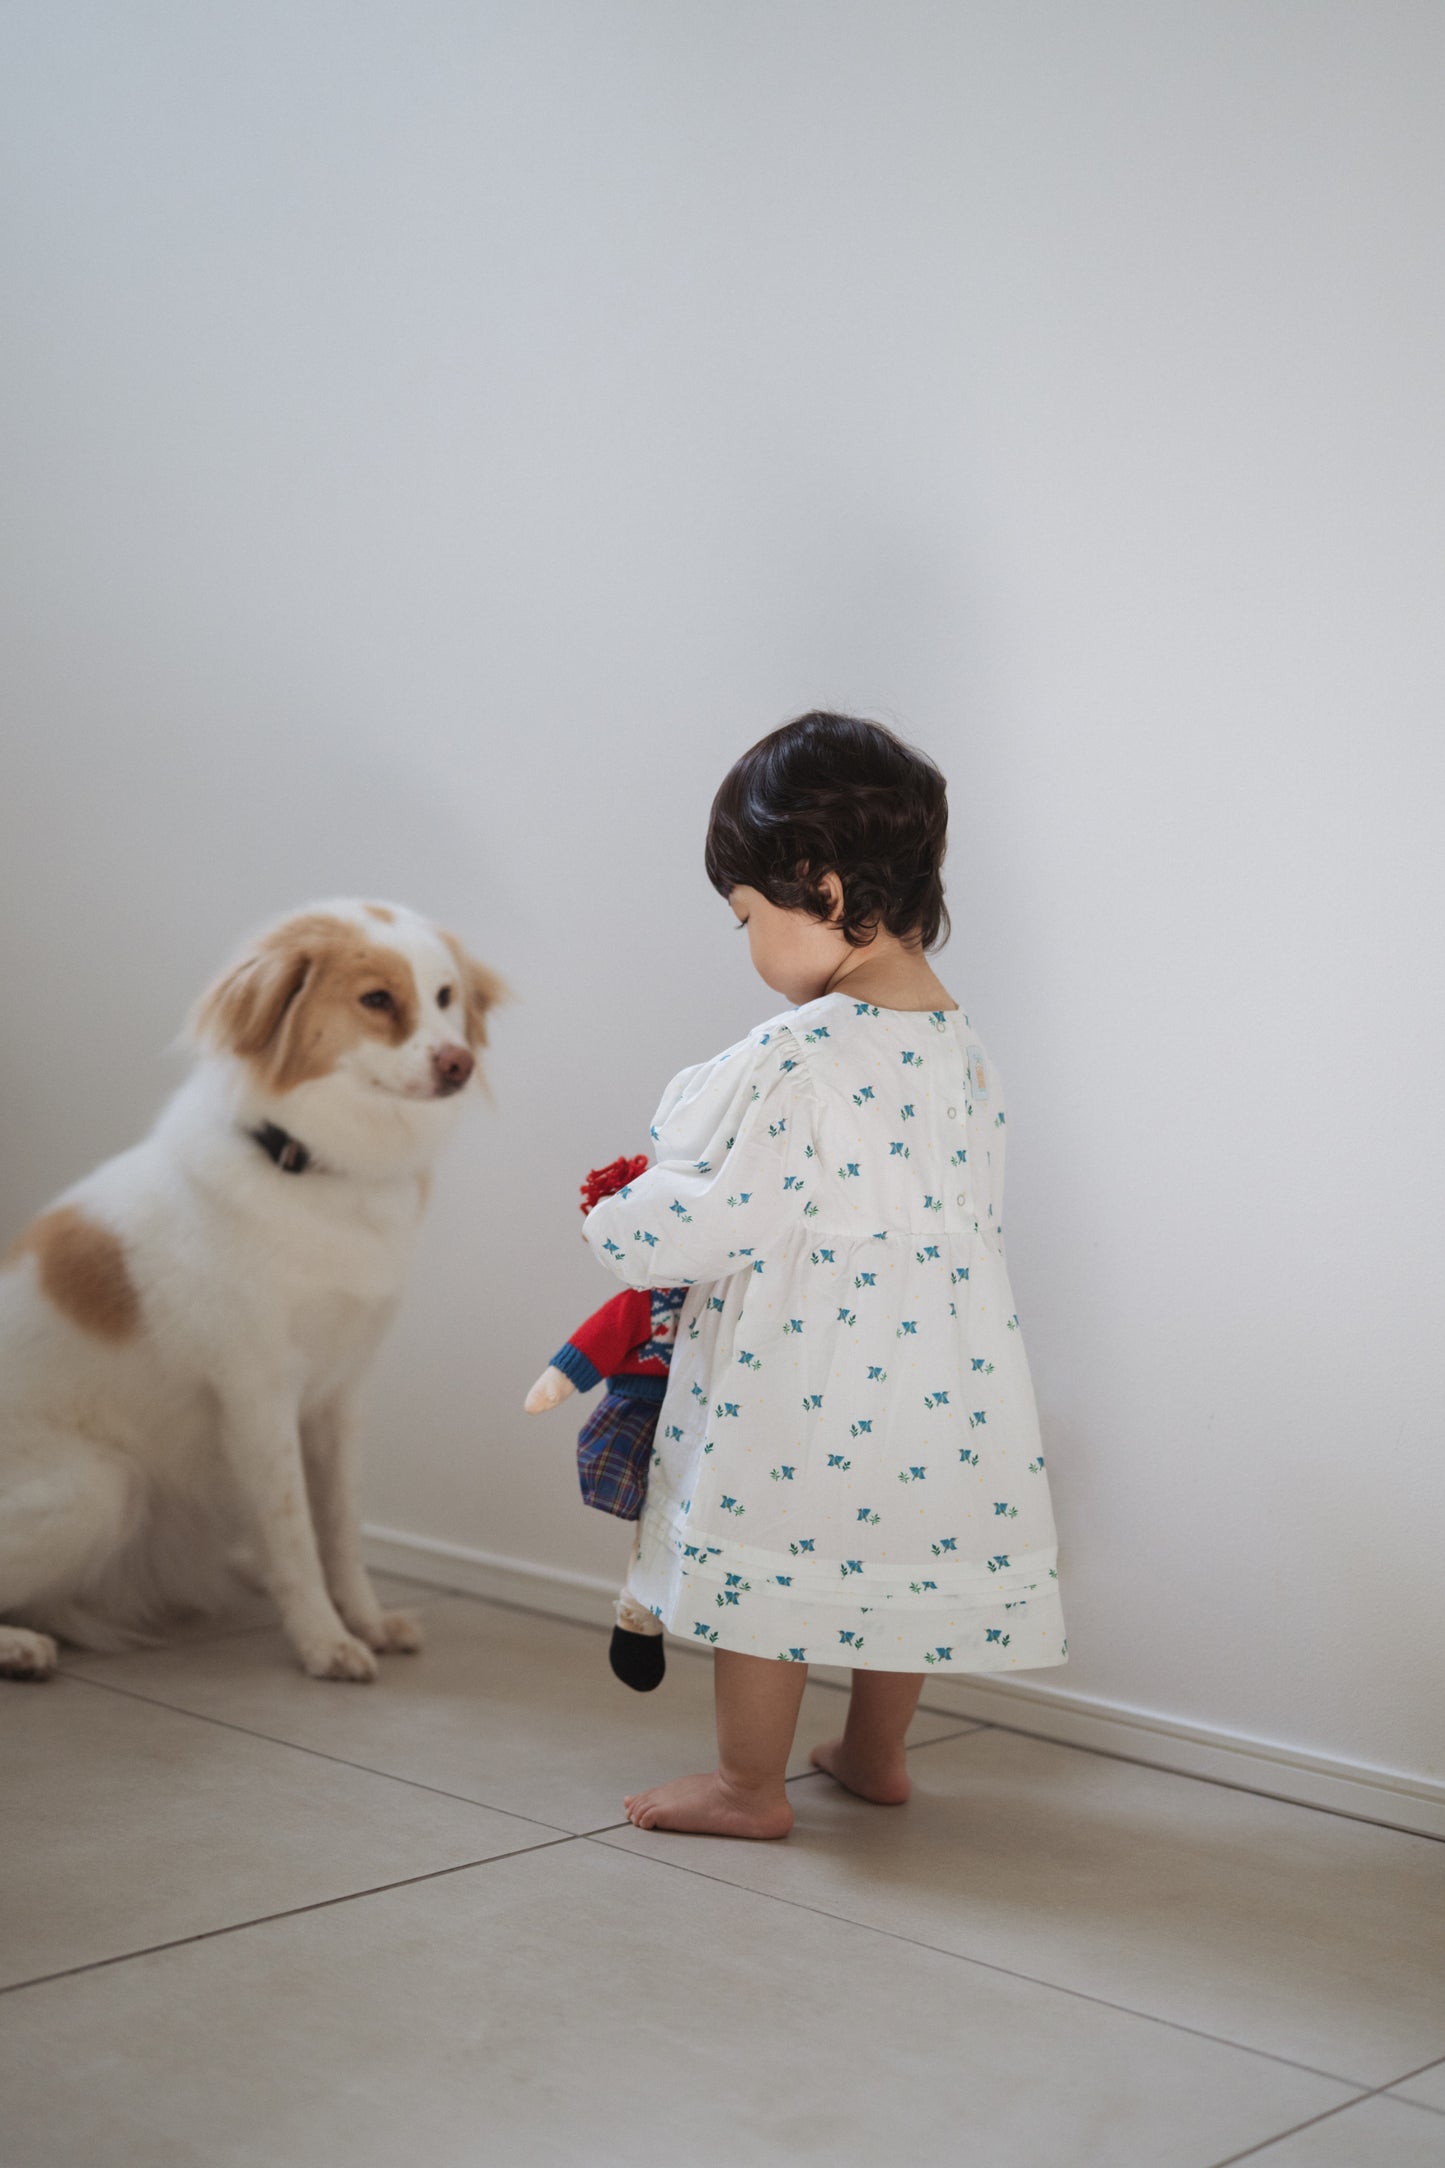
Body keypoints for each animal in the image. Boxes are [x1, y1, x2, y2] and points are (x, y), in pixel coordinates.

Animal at [0, 899, 510, 1681]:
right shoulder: (259, 1394)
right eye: (377, 999)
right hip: (101, 1488)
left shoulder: (341, 1397)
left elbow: (342, 1528)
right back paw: (21, 1646)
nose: (460, 1063)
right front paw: (324, 1641)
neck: (314, 1170)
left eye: (446, 997)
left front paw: (367, 1621)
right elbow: (294, 1534)